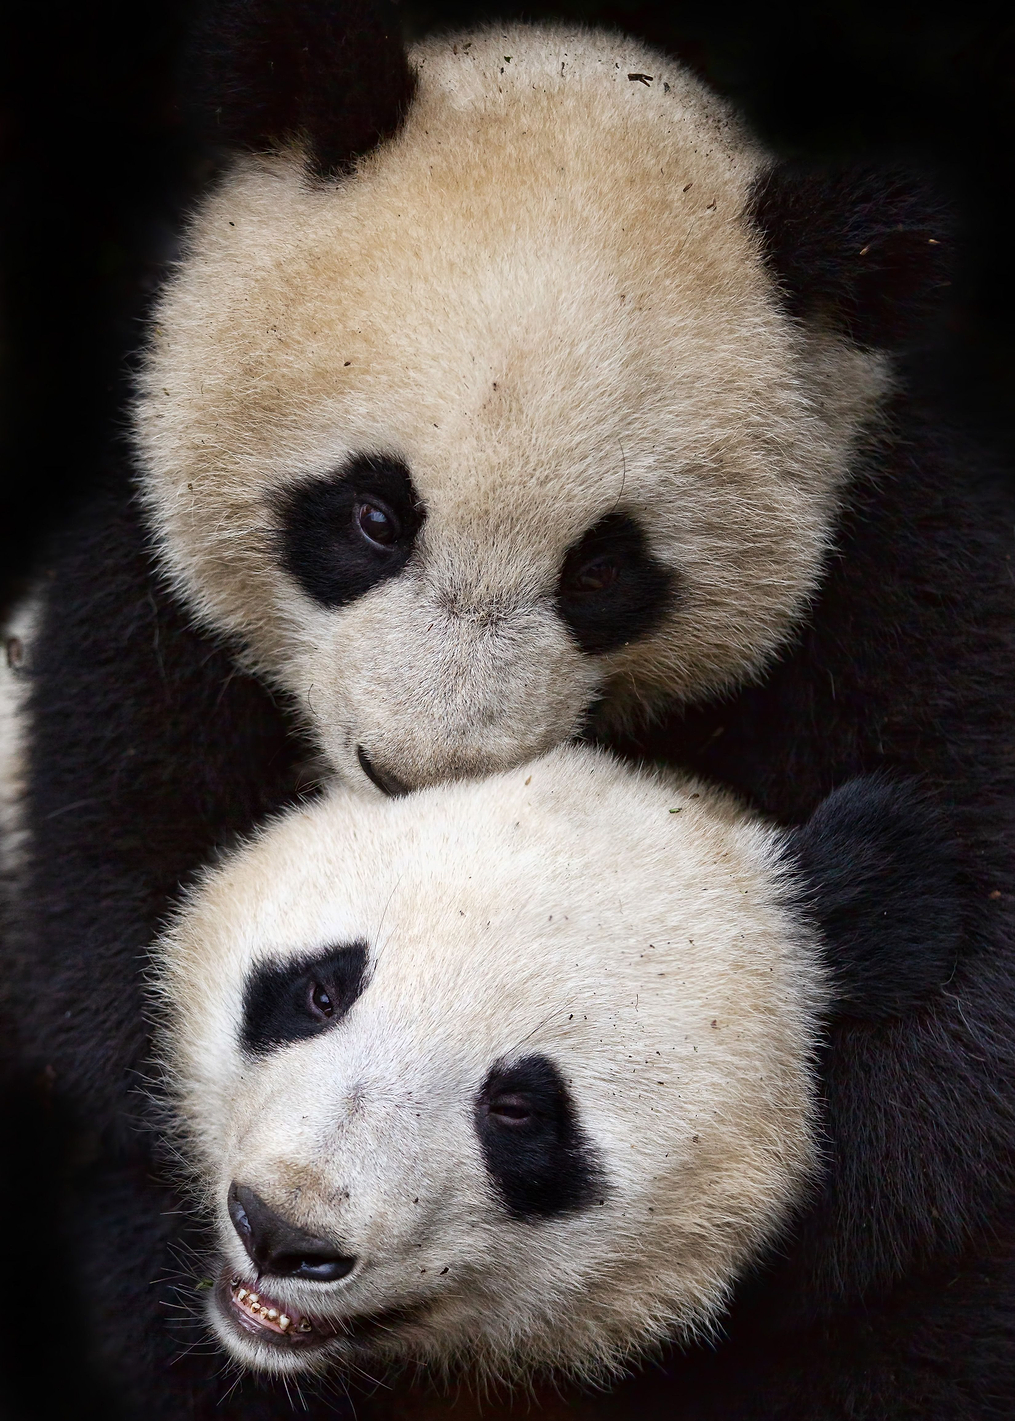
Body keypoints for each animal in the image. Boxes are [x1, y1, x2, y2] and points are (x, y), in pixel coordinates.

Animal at [4, 0, 1015, 1416]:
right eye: (370, 515)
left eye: (604, 571)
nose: (415, 766)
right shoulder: (135, 623)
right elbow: (107, 909)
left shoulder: (900, 575)